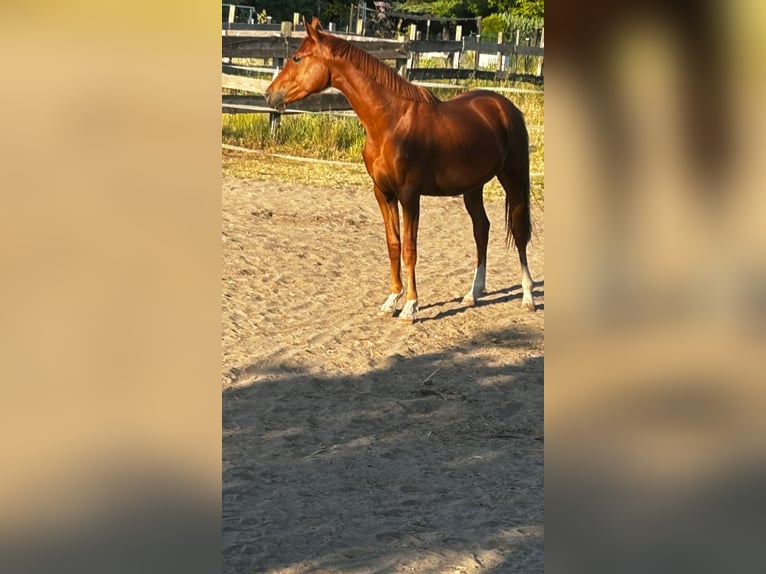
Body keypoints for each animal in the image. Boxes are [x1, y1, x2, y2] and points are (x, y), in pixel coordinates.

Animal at [268, 16, 536, 324]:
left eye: (297, 58)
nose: (269, 94)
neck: (390, 122)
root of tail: (505, 107)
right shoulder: (383, 193)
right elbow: (393, 244)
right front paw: (391, 300)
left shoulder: (410, 195)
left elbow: (410, 248)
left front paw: (410, 306)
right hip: (473, 187)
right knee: (481, 229)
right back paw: (473, 294)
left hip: (514, 179)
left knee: (518, 231)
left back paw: (528, 296)